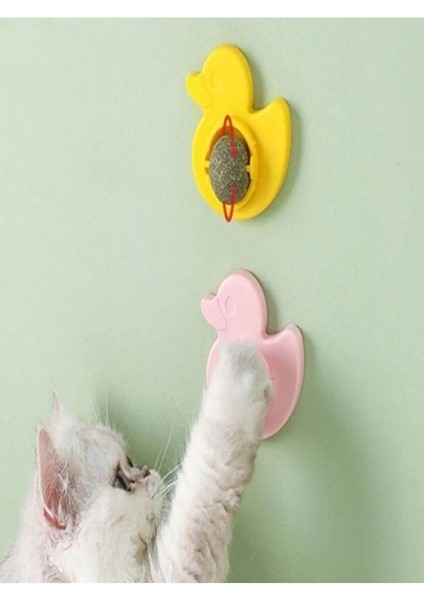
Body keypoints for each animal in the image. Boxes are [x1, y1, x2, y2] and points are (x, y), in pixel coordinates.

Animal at [0, 342, 272, 582]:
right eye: (120, 482)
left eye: (130, 460)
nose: (147, 471)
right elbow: (206, 480)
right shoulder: (175, 569)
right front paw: (241, 360)